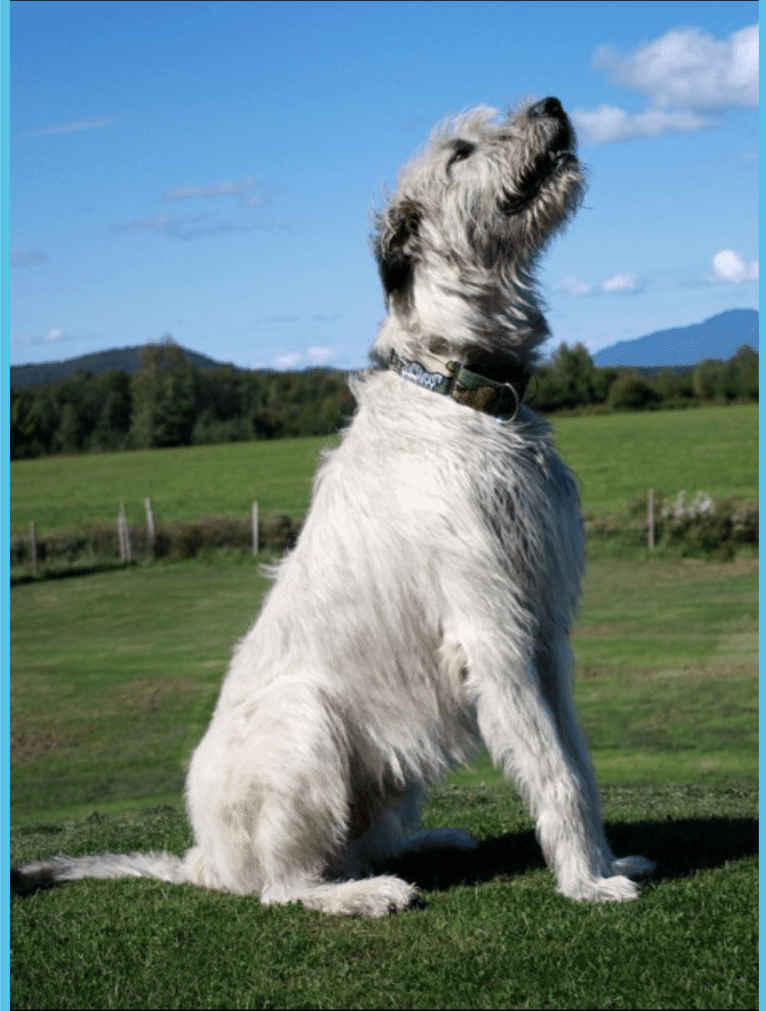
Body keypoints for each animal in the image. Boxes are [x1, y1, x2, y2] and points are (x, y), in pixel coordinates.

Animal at [12, 100, 654, 917]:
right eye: (461, 151)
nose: (553, 104)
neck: (459, 390)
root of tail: (203, 859)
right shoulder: (492, 631)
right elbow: (554, 768)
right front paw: (586, 882)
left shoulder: (547, 636)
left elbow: (581, 761)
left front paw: (606, 861)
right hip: (304, 720)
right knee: (284, 888)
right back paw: (364, 894)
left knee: (352, 845)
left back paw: (423, 843)